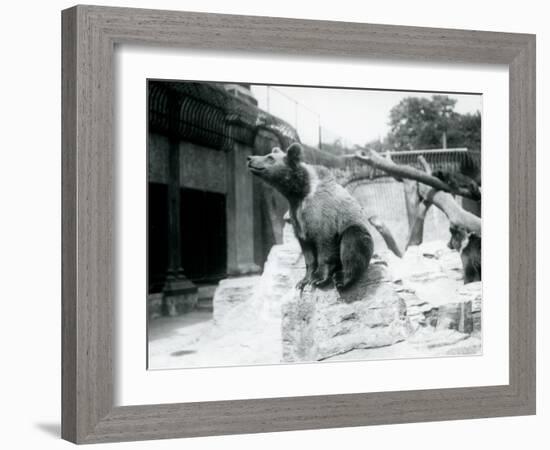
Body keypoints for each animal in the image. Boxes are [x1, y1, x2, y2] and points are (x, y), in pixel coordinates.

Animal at [249, 144, 376, 292]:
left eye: (270, 157)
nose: (250, 158)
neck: (299, 192)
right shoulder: (297, 218)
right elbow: (307, 251)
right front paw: (303, 280)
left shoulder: (321, 214)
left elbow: (324, 243)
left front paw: (318, 278)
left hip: (358, 230)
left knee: (352, 242)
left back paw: (342, 278)